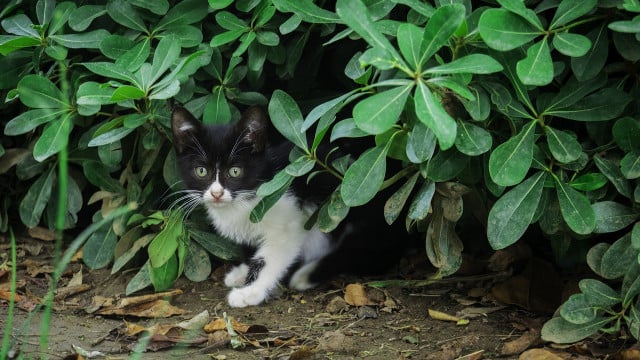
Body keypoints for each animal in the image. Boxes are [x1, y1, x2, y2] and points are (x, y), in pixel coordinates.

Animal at [170, 105, 400, 308]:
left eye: (235, 171)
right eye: (201, 171)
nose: (216, 194)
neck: (248, 196)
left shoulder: (290, 222)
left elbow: (269, 257)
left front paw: (250, 292)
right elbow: (252, 248)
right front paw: (243, 272)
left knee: (360, 254)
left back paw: (307, 274)